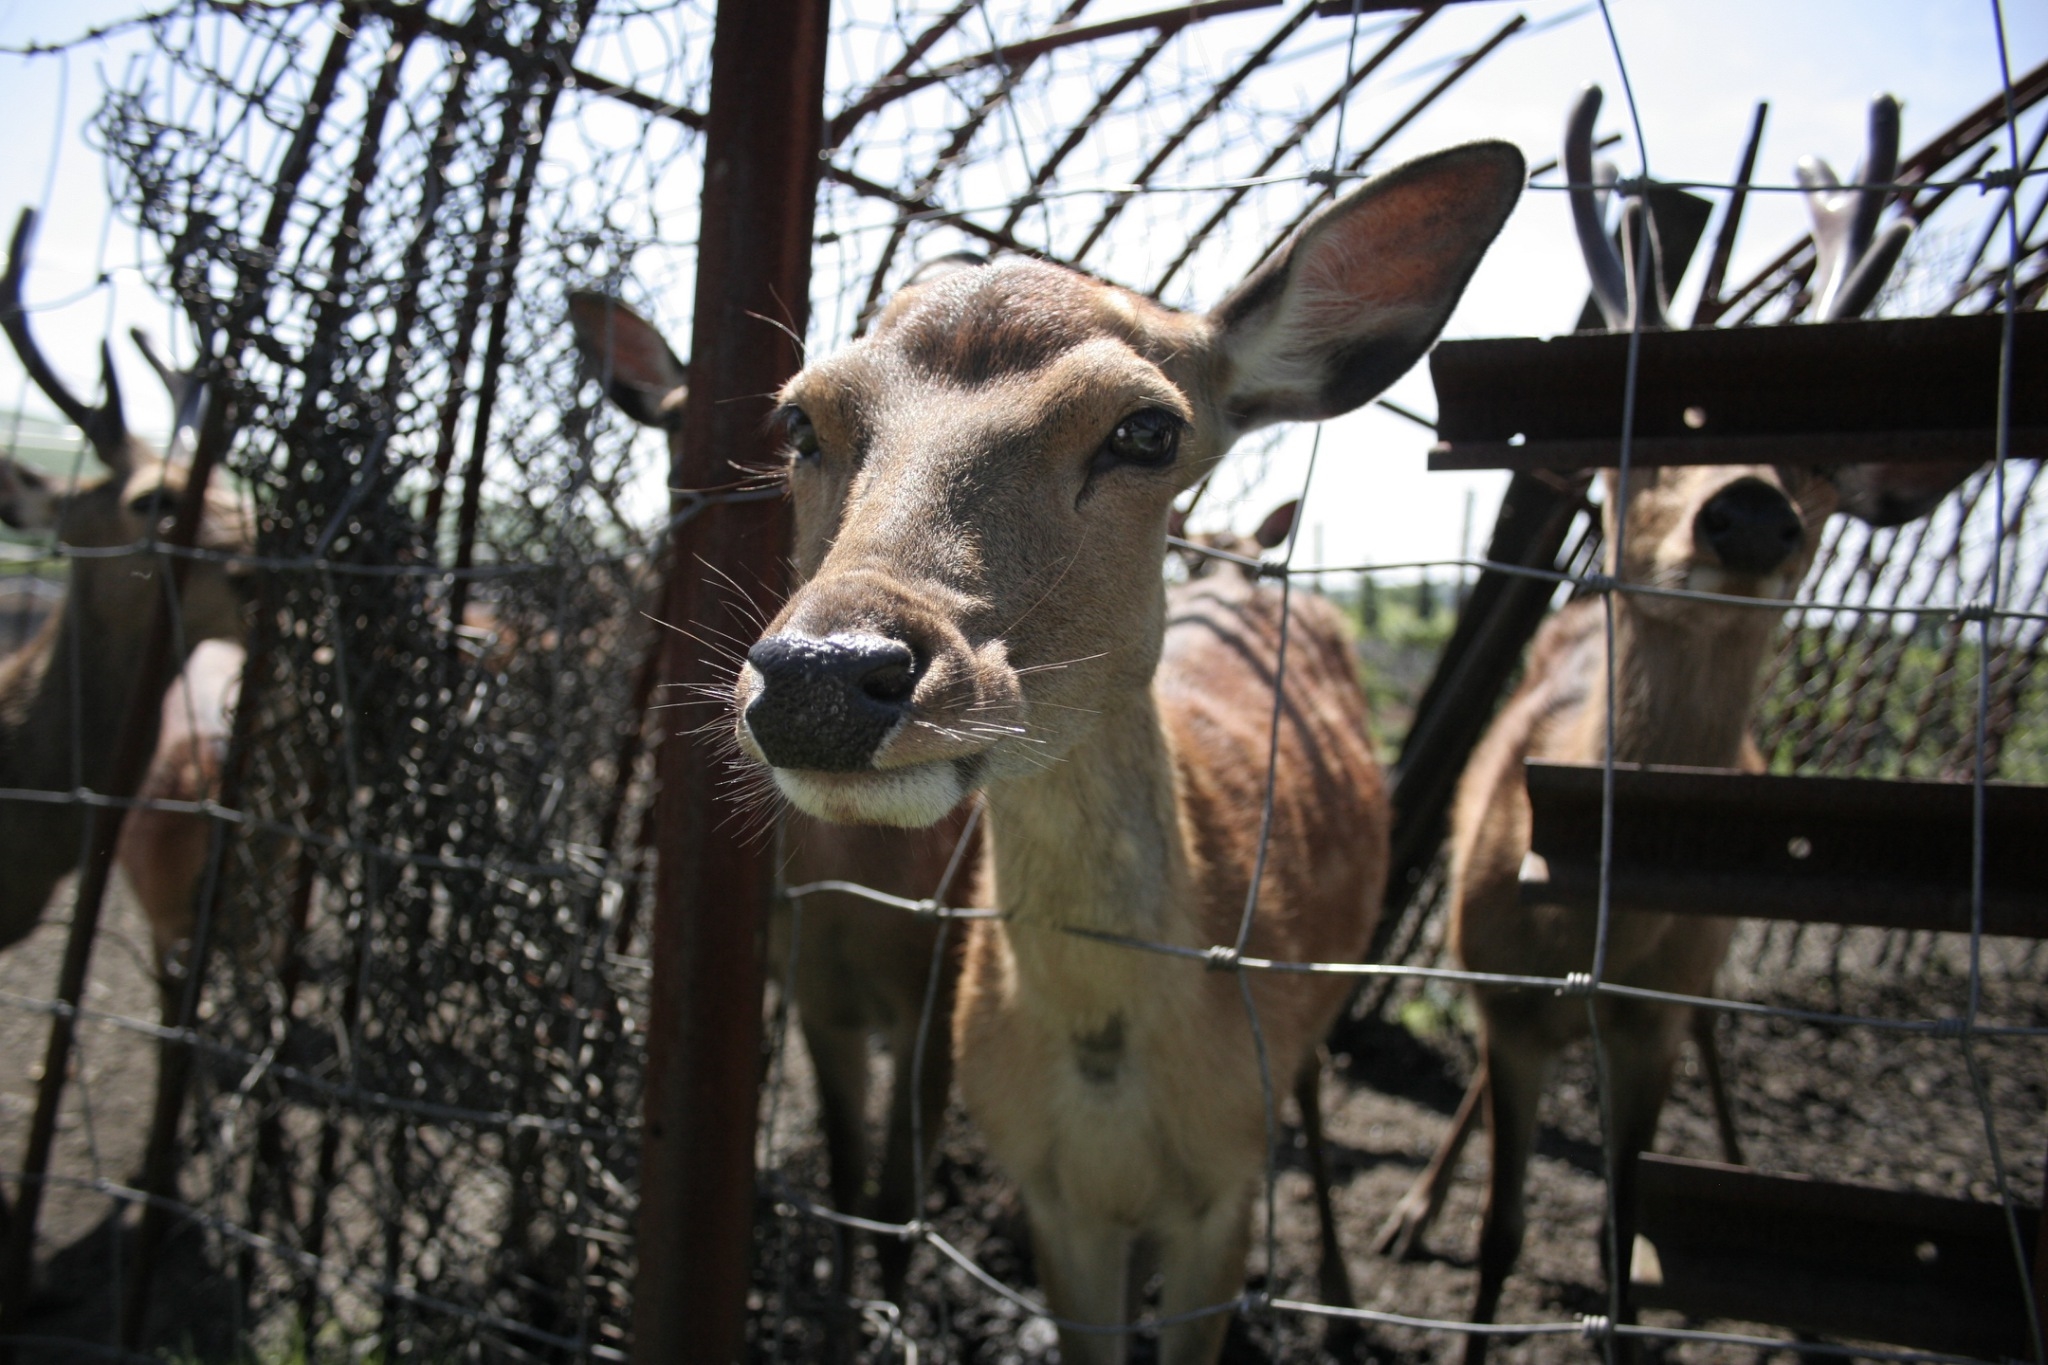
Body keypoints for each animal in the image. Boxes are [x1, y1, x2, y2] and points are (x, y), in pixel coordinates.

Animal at [724, 144, 1523, 1358]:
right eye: (798, 422)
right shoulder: (1050, 1198)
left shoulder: (1224, 1195)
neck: (1114, 1073)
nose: (820, 677)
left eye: (1147, 427)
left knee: (1312, 1107)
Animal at [1359, 90, 1949, 1358]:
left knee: (1716, 1041)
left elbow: (1623, 1241)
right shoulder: (1503, 986)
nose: (1748, 512)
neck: (1598, 936)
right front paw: (1460, 1261)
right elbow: (1502, 1230)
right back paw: (1412, 1210)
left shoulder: (1654, 1020)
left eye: (1817, 456)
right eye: (1634, 452)